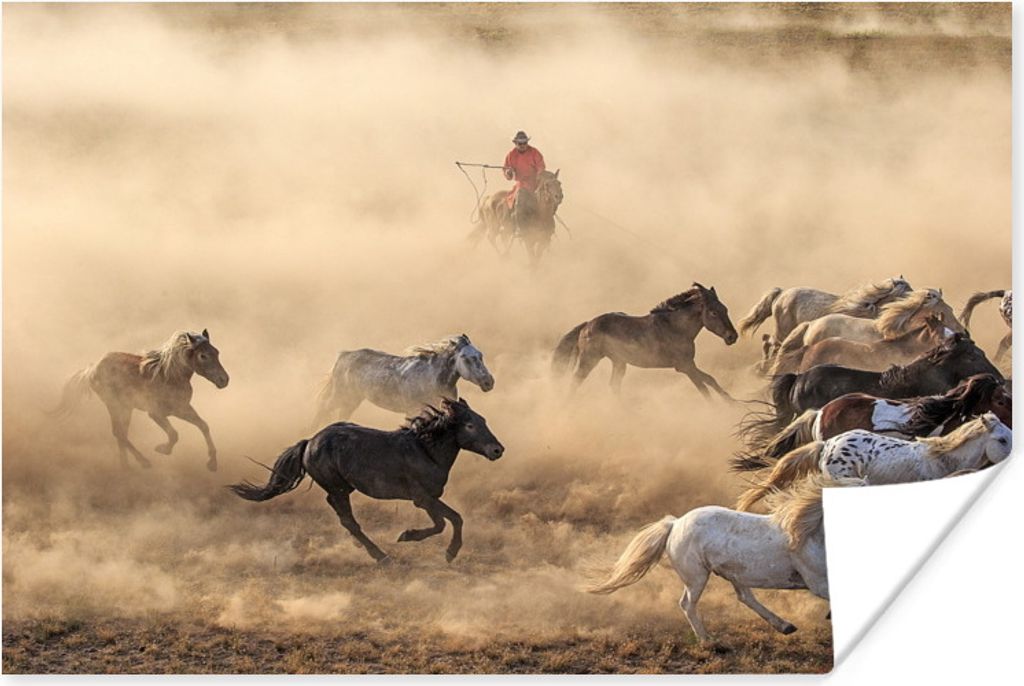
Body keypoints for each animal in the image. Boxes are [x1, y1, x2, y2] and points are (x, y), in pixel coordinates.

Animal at [50, 329, 229, 471]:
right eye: (203, 355)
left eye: (217, 352)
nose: (224, 380)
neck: (170, 377)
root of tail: (92, 368)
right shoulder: (156, 414)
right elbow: (174, 434)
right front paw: (162, 449)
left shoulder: (182, 409)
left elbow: (203, 426)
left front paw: (212, 463)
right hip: (113, 405)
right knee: (119, 433)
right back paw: (143, 462)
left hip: (126, 408)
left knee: (122, 433)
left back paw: (126, 466)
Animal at [230, 398, 503, 564]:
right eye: (469, 425)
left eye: (483, 420)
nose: (498, 450)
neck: (426, 450)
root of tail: (309, 442)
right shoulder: (422, 498)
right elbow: (447, 522)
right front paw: (417, 540)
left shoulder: (429, 498)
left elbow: (451, 520)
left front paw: (444, 549)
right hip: (339, 488)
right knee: (348, 520)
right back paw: (381, 556)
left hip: (343, 488)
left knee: (343, 516)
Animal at [312, 334, 494, 428]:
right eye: (465, 358)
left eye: (480, 355)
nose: (489, 382)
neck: (433, 379)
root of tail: (344, 356)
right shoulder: (413, 411)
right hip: (340, 396)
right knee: (322, 407)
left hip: (351, 400)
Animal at [551, 283, 738, 399]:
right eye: (713, 312)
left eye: (725, 309)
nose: (732, 336)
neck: (676, 328)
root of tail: (587, 325)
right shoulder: (685, 366)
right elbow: (705, 389)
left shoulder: (687, 365)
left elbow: (711, 380)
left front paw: (732, 403)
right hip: (590, 359)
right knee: (576, 381)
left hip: (619, 362)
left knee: (614, 386)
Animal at [587, 475, 858, 642]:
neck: (809, 533)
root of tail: (675, 524)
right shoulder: (818, 582)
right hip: (697, 577)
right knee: (687, 604)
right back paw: (707, 641)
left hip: (734, 574)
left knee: (745, 597)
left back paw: (785, 626)